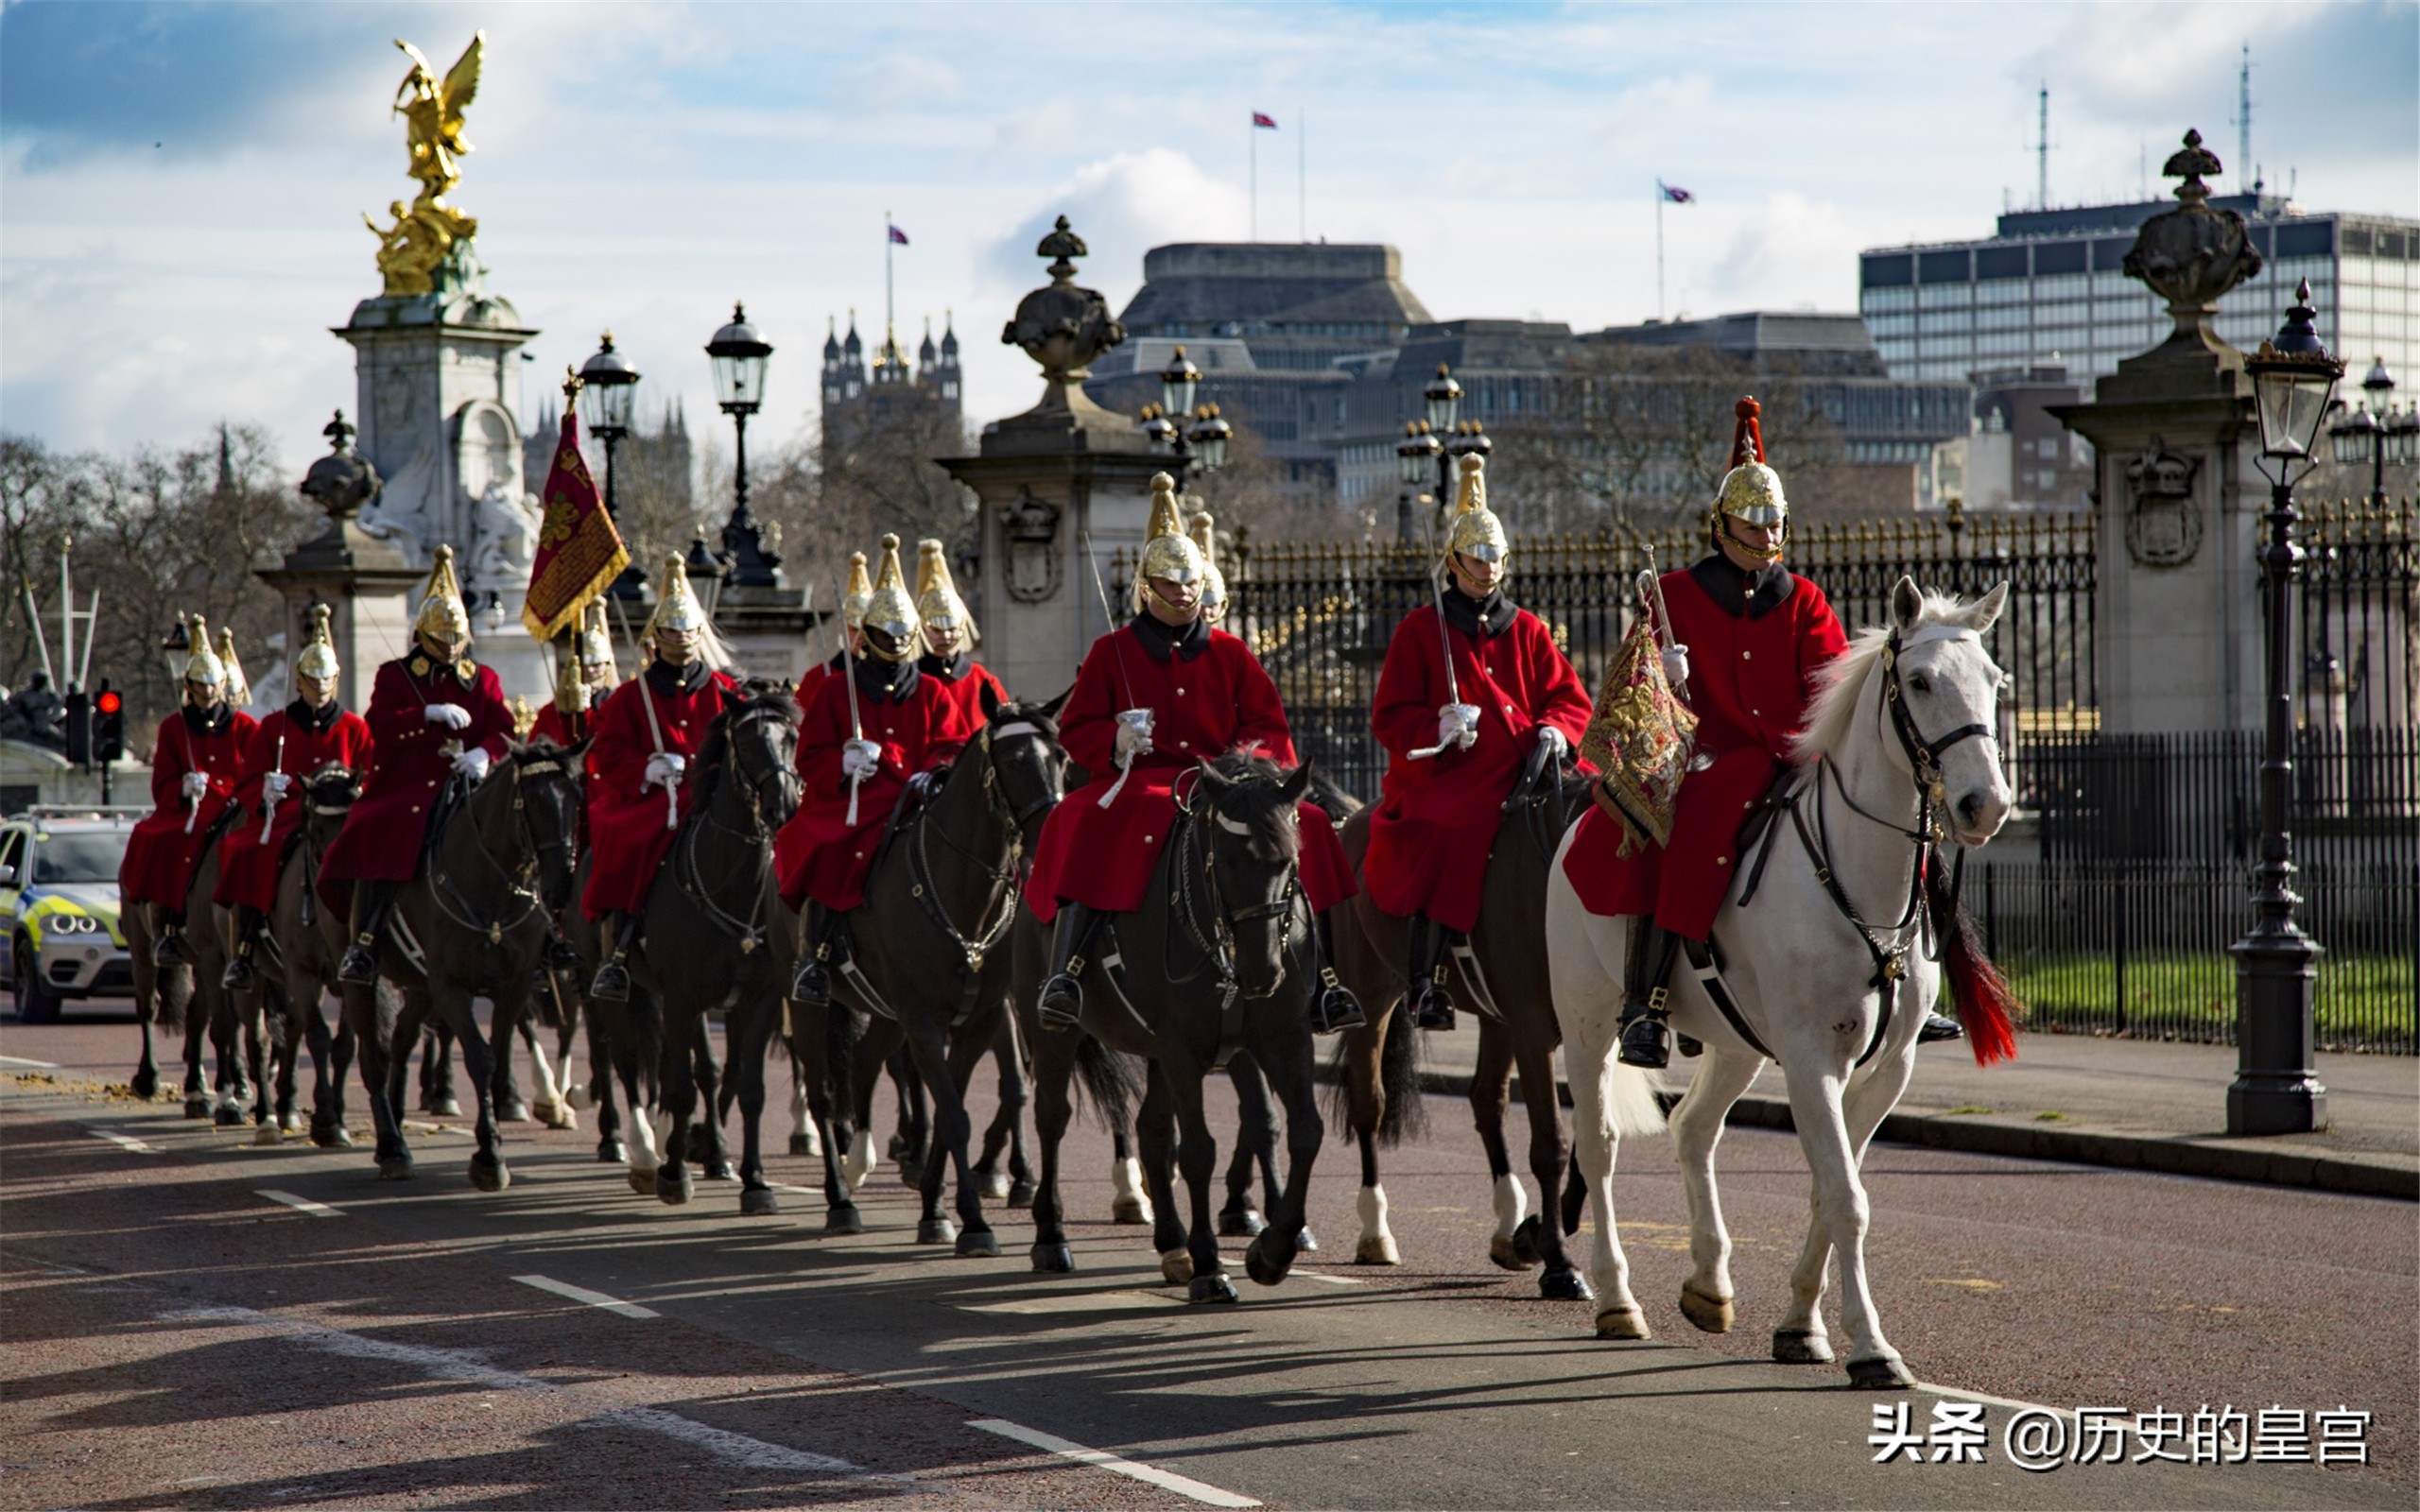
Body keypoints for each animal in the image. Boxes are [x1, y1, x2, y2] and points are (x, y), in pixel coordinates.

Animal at [1548, 580, 2023, 1393]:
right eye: (1919, 681)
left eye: (1994, 679)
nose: (1982, 805)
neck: (1858, 877)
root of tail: (1582, 821)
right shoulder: (1810, 1060)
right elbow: (1846, 1198)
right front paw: (1872, 1348)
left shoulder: (1887, 1070)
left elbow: (1830, 1190)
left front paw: (1802, 1325)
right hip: (1586, 1024)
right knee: (1598, 1145)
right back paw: (1615, 1298)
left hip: (1736, 1042)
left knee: (1694, 1129)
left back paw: (1709, 1283)